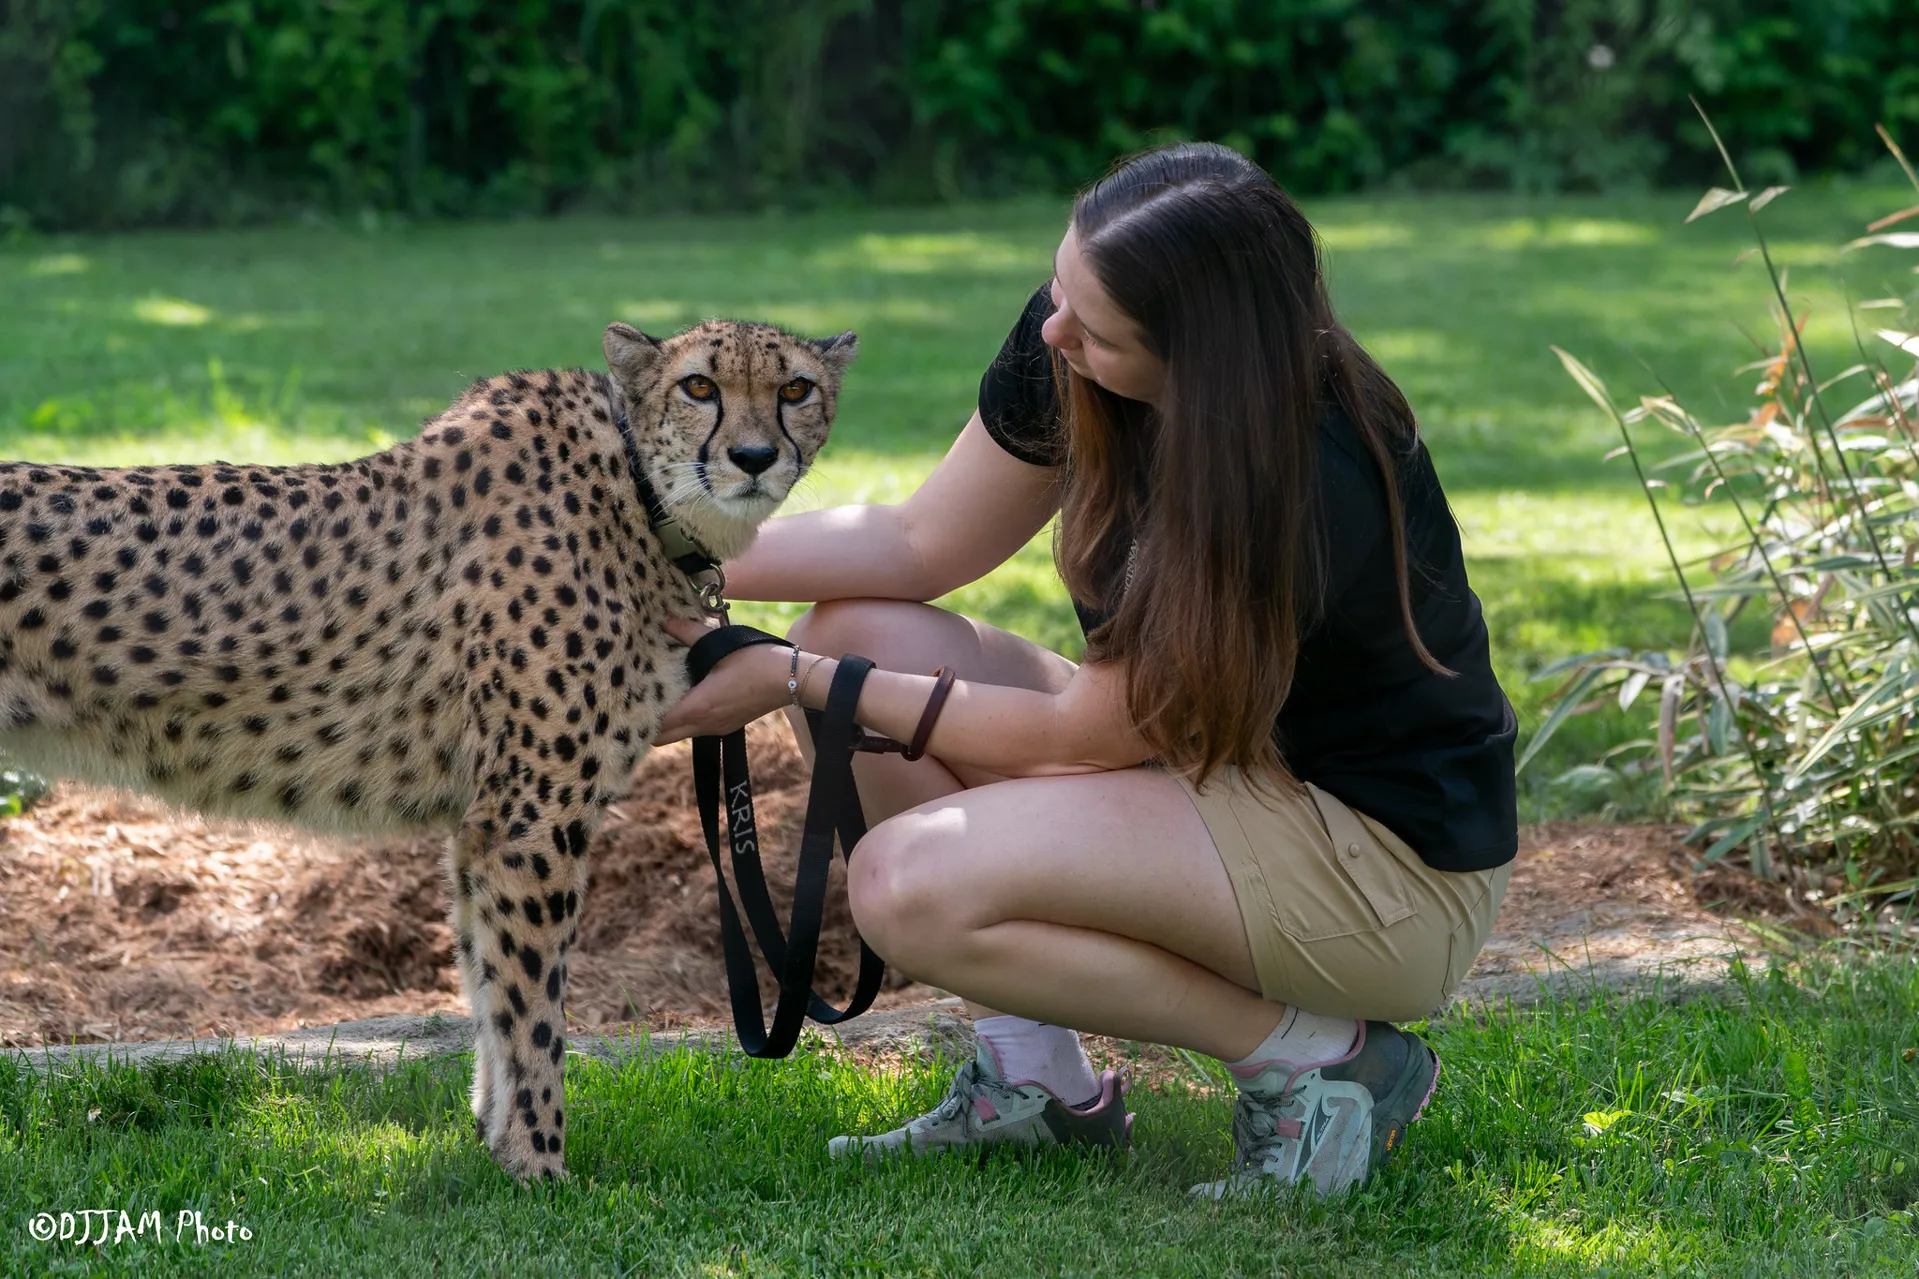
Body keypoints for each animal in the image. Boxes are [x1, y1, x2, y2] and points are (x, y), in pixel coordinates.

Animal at [0, 319, 857, 1180]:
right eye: (698, 387)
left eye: (794, 389)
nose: (754, 456)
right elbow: (534, 1008)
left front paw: (496, 1142)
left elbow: (488, 986)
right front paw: (542, 1164)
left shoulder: (482, 824)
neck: (641, 492)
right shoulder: (529, 822)